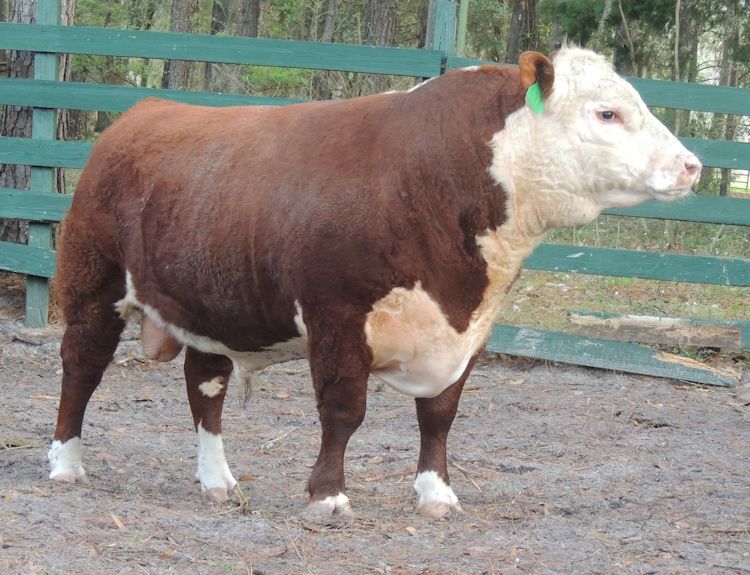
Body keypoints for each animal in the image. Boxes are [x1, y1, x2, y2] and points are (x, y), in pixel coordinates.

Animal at [48, 47, 701, 519]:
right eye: (607, 113)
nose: (691, 166)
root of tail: (142, 113)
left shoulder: (469, 331)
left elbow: (440, 414)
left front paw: (437, 495)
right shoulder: (338, 314)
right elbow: (344, 410)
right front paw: (328, 495)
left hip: (209, 302)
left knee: (204, 385)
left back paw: (216, 480)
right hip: (94, 284)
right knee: (81, 368)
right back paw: (65, 464)